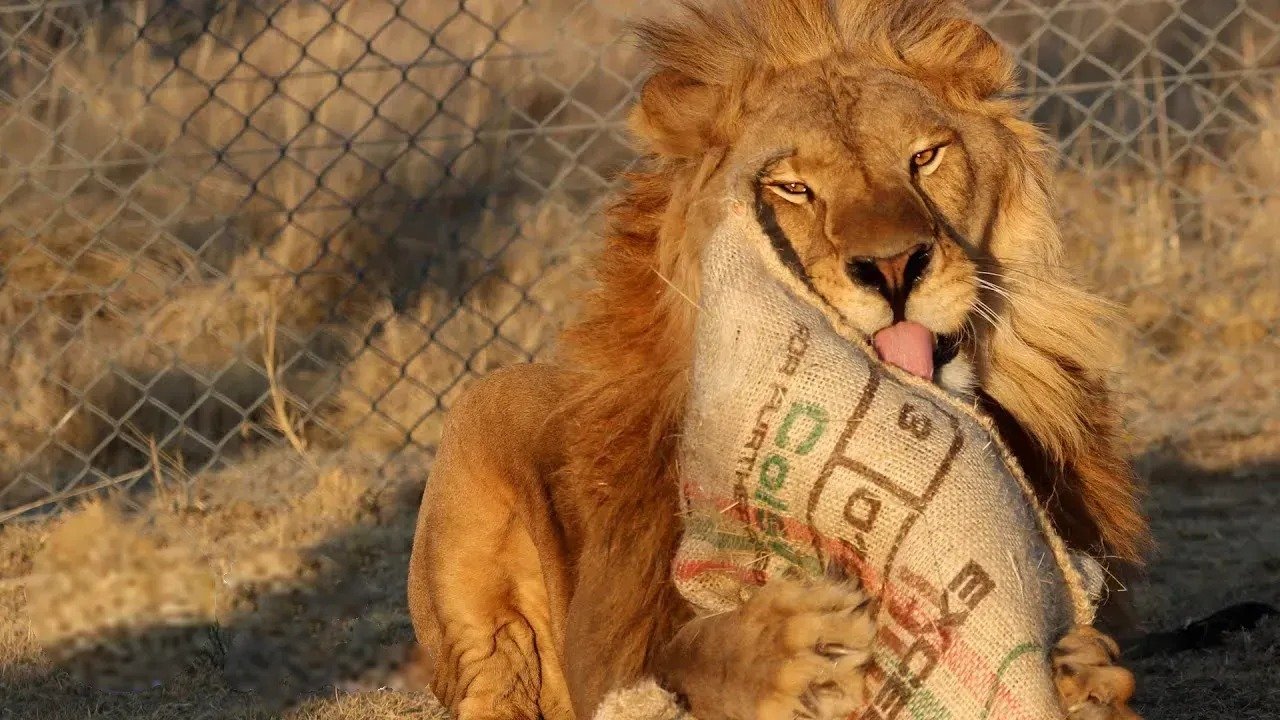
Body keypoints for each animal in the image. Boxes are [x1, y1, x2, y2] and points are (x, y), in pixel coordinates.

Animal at [409, 1, 1152, 717]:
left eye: (924, 157)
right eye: (791, 188)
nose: (893, 268)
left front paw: (1082, 674)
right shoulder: (620, 645)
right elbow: (680, 658)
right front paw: (786, 651)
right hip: (475, 445)